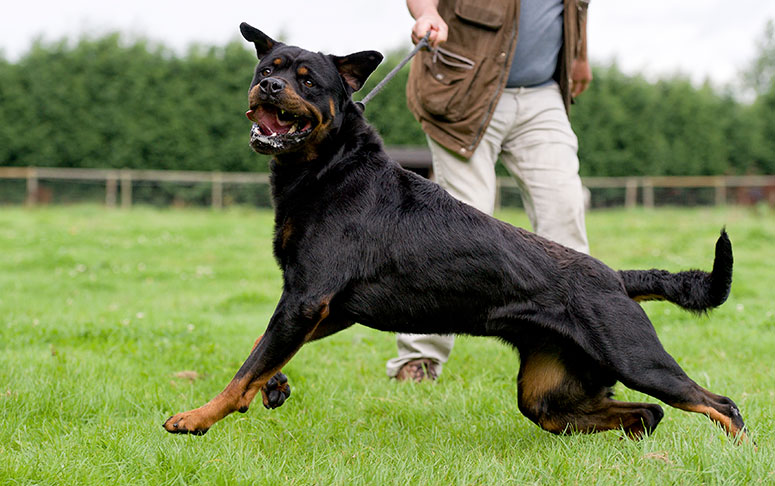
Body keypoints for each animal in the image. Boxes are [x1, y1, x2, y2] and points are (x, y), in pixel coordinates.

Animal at [162, 23, 744, 440]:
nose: (269, 86)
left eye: (307, 80)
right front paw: (272, 385)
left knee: (719, 404)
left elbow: (246, 366)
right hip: (549, 393)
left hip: (636, 358)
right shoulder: (325, 308)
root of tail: (616, 277)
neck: (330, 167)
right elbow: (261, 352)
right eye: (268, 67)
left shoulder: (307, 298)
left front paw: (195, 417)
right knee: (642, 413)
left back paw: (741, 451)